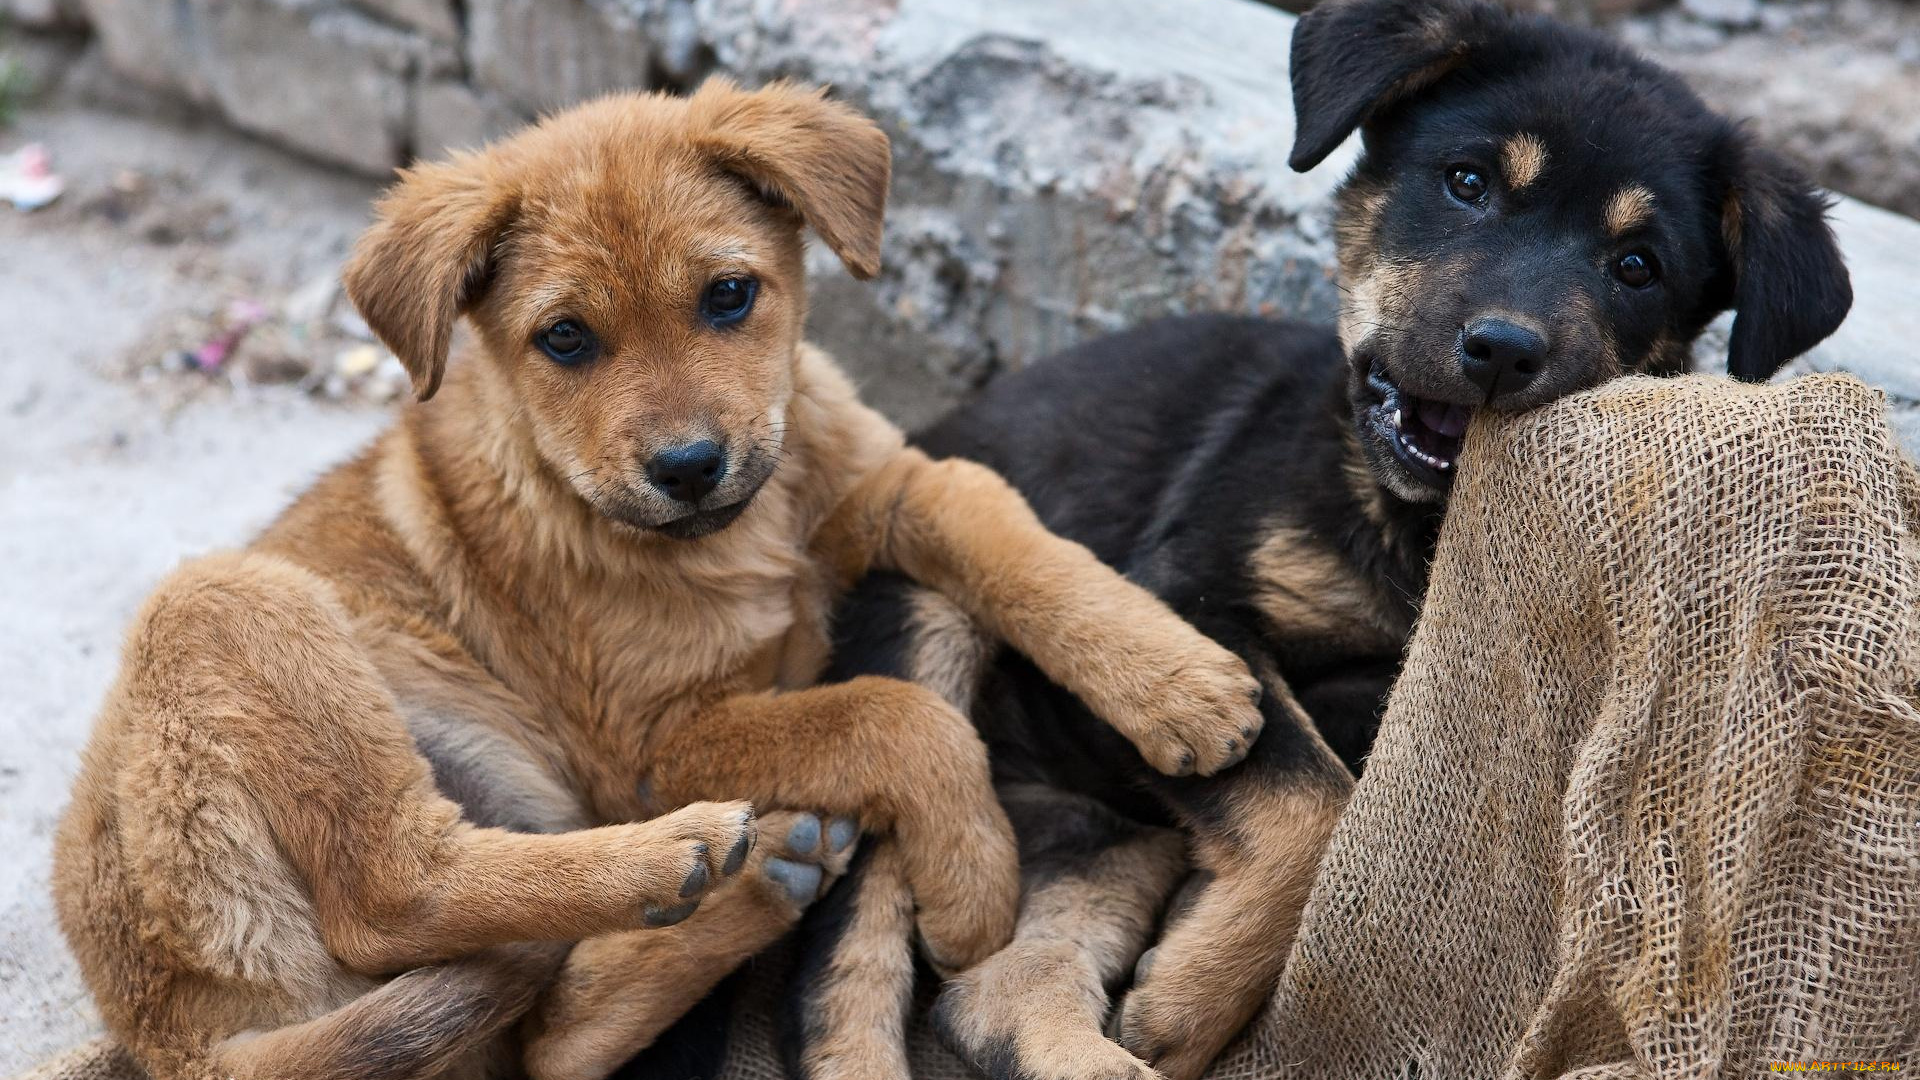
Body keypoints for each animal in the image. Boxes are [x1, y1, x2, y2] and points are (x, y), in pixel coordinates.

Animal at [48, 77, 1259, 1076]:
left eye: (729, 295)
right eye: (565, 340)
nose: (687, 467)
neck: (740, 535)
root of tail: (165, 1038)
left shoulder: (891, 482)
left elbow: (1015, 539)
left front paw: (1179, 684)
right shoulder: (645, 746)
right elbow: (892, 709)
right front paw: (974, 888)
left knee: (546, 1041)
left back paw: (760, 878)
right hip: (229, 603)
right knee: (396, 886)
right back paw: (689, 855)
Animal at [771, 2, 1850, 1076]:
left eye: (1637, 267)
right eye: (1468, 183)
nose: (1502, 351)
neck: (1415, 530)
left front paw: (1184, 998)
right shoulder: (1187, 605)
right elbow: (1312, 799)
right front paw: (1200, 998)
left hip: (1104, 830)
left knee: (993, 992)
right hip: (927, 639)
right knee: (850, 944)